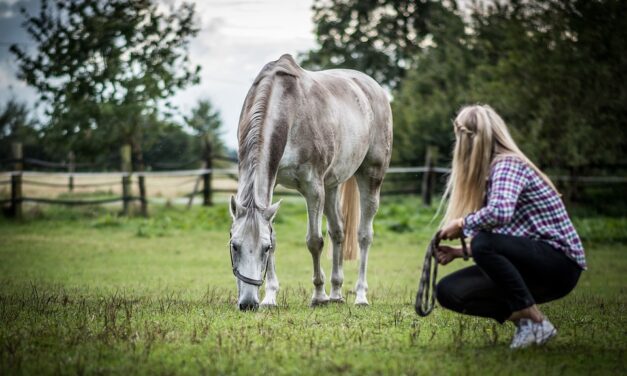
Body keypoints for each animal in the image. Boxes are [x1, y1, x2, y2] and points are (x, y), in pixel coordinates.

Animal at [228, 53, 390, 312]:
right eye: (235, 245)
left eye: (264, 249)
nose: (249, 303)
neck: (287, 109)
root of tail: (373, 87)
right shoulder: (274, 185)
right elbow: (277, 235)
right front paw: (270, 297)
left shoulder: (313, 187)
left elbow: (314, 241)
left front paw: (318, 296)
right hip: (332, 185)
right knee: (338, 232)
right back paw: (336, 293)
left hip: (370, 176)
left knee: (364, 235)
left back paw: (360, 296)